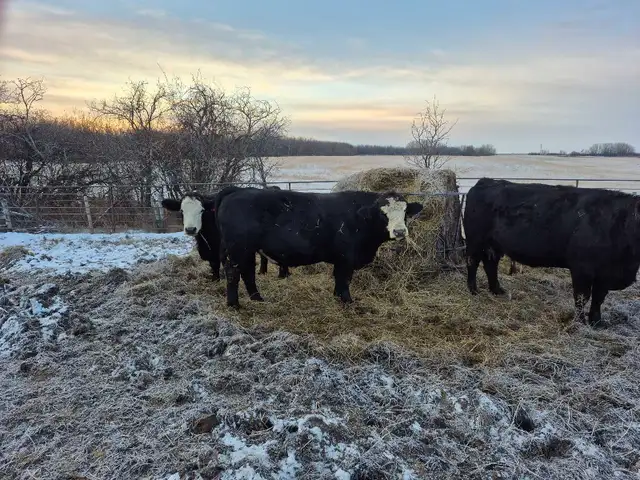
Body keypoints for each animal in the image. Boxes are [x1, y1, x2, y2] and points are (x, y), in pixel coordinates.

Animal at [214, 186, 424, 308]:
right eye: (382, 213)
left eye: (405, 211)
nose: (399, 231)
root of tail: (236, 190)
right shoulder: (346, 257)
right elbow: (344, 279)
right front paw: (347, 302)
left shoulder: (342, 259)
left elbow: (339, 279)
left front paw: (337, 297)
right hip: (238, 249)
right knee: (233, 273)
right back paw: (234, 304)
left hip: (247, 250)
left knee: (248, 272)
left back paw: (257, 298)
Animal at [464, 177, 640, 326]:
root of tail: (486, 181)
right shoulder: (582, 269)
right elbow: (582, 297)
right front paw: (580, 322)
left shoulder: (604, 275)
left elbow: (598, 299)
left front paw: (596, 322)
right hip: (475, 240)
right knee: (472, 262)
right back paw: (473, 290)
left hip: (494, 245)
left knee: (490, 265)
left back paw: (497, 290)